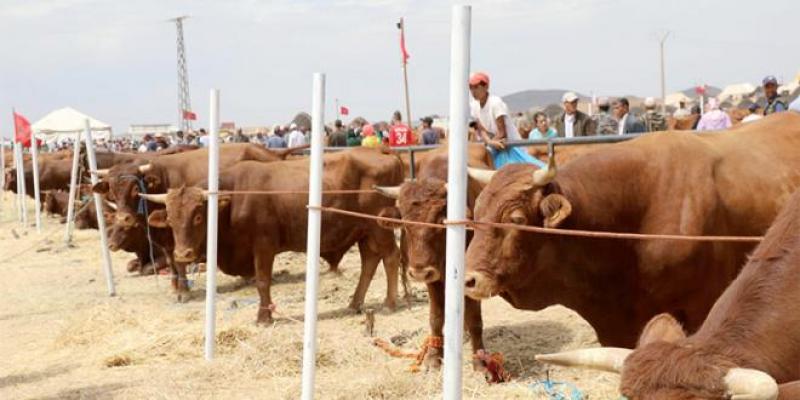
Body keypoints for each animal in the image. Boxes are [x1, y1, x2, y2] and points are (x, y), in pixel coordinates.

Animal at [141, 148, 404, 324]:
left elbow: (262, 281)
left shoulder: (263, 247)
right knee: (369, 262)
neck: (234, 197)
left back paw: (389, 303)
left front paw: (263, 316)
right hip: (365, 232)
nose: (182, 254)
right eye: (171, 218)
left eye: (197, 216)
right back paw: (354, 303)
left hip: (380, 228)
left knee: (391, 257)